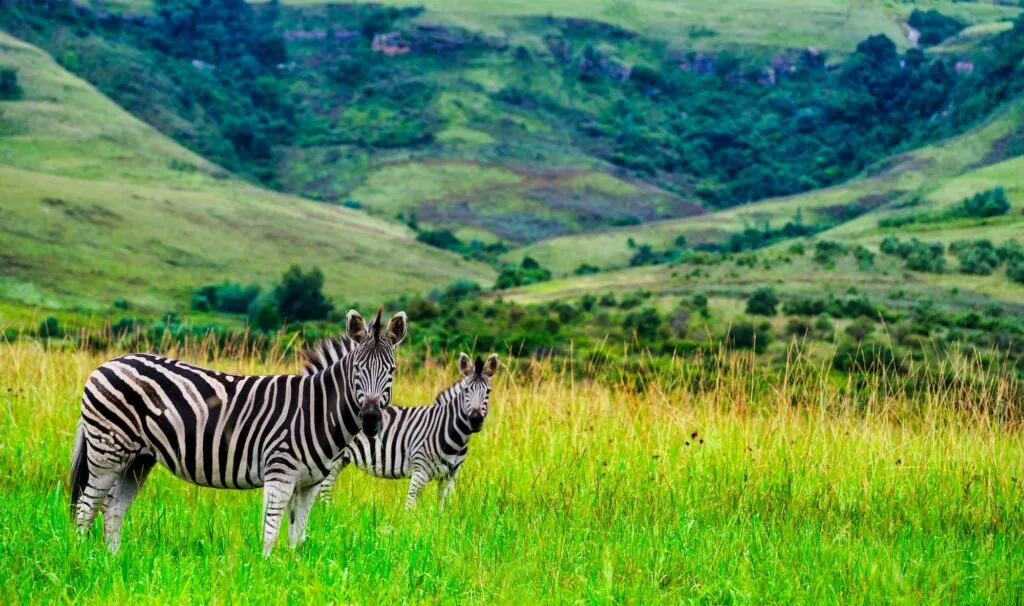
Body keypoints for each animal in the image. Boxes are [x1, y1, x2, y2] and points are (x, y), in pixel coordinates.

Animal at [69, 307, 407, 555]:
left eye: (392, 371)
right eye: (357, 370)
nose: (371, 419)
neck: (315, 411)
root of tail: (107, 363)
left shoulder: (309, 484)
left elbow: (297, 536)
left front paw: (294, 574)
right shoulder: (279, 473)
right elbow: (270, 532)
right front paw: (266, 574)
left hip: (138, 459)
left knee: (113, 509)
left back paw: (114, 561)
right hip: (107, 450)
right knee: (86, 508)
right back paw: (84, 561)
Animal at [301, 337, 498, 510]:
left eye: (488, 391)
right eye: (466, 390)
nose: (475, 420)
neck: (454, 434)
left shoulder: (450, 476)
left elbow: (443, 510)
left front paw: (440, 526)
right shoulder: (420, 471)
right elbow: (410, 507)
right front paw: (411, 527)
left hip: (341, 459)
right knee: (325, 488)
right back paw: (328, 514)